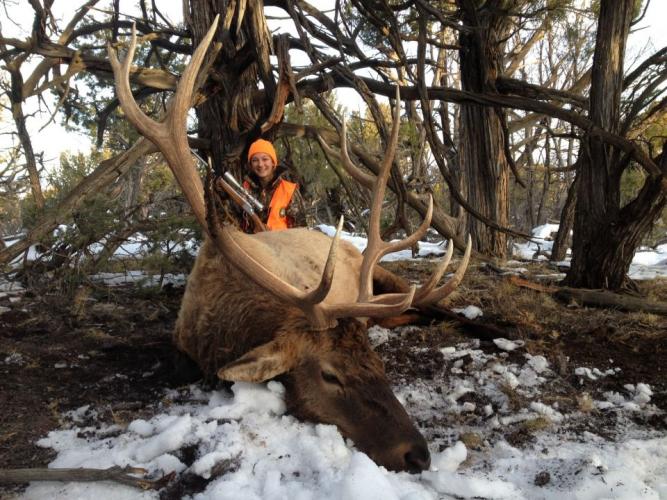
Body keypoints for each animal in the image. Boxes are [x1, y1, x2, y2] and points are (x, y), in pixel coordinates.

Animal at [107, 16, 471, 474]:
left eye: (378, 364)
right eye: (330, 375)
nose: (418, 454)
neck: (226, 328)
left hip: (383, 277)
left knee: (436, 306)